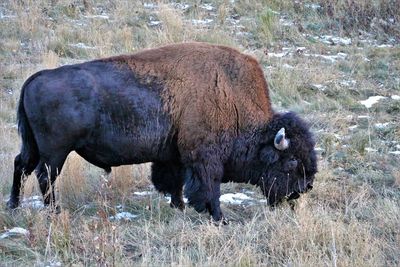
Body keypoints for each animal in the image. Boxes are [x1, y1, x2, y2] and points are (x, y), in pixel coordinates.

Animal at [7, 42, 318, 222]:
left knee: (21, 165)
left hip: (32, 145)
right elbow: (210, 188)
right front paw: (219, 218)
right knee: (44, 175)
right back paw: (54, 211)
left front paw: (178, 207)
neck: (230, 96)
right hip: (55, 151)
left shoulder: (174, 156)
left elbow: (174, 182)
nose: (303, 189)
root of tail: (35, 78)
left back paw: (14, 206)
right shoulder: (205, 159)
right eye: (291, 162)